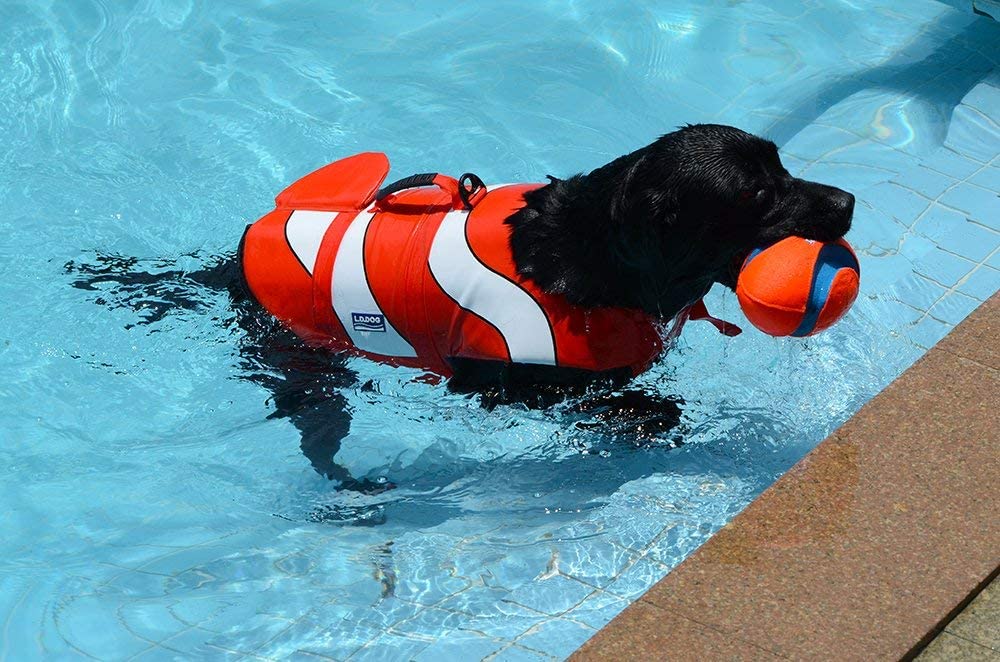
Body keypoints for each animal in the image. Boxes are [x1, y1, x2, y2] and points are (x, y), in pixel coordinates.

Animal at [68, 124, 852, 490]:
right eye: (756, 194)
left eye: (783, 165)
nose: (847, 202)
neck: (586, 258)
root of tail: (231, 268)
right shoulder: (502, 384)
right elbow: (629, 404)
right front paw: (652, 417)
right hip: (309, 374)